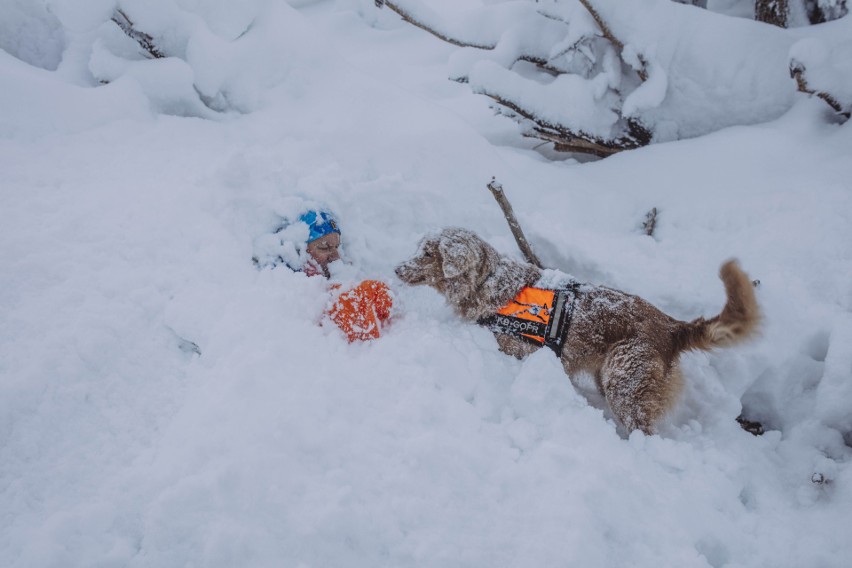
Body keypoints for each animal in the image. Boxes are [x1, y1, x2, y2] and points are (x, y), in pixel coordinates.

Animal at [392, 229, 760, 432]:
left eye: (428, 253)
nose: (396, 268)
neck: (488, 284)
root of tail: (671, 325)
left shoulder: (518, 353)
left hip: (623, 381)